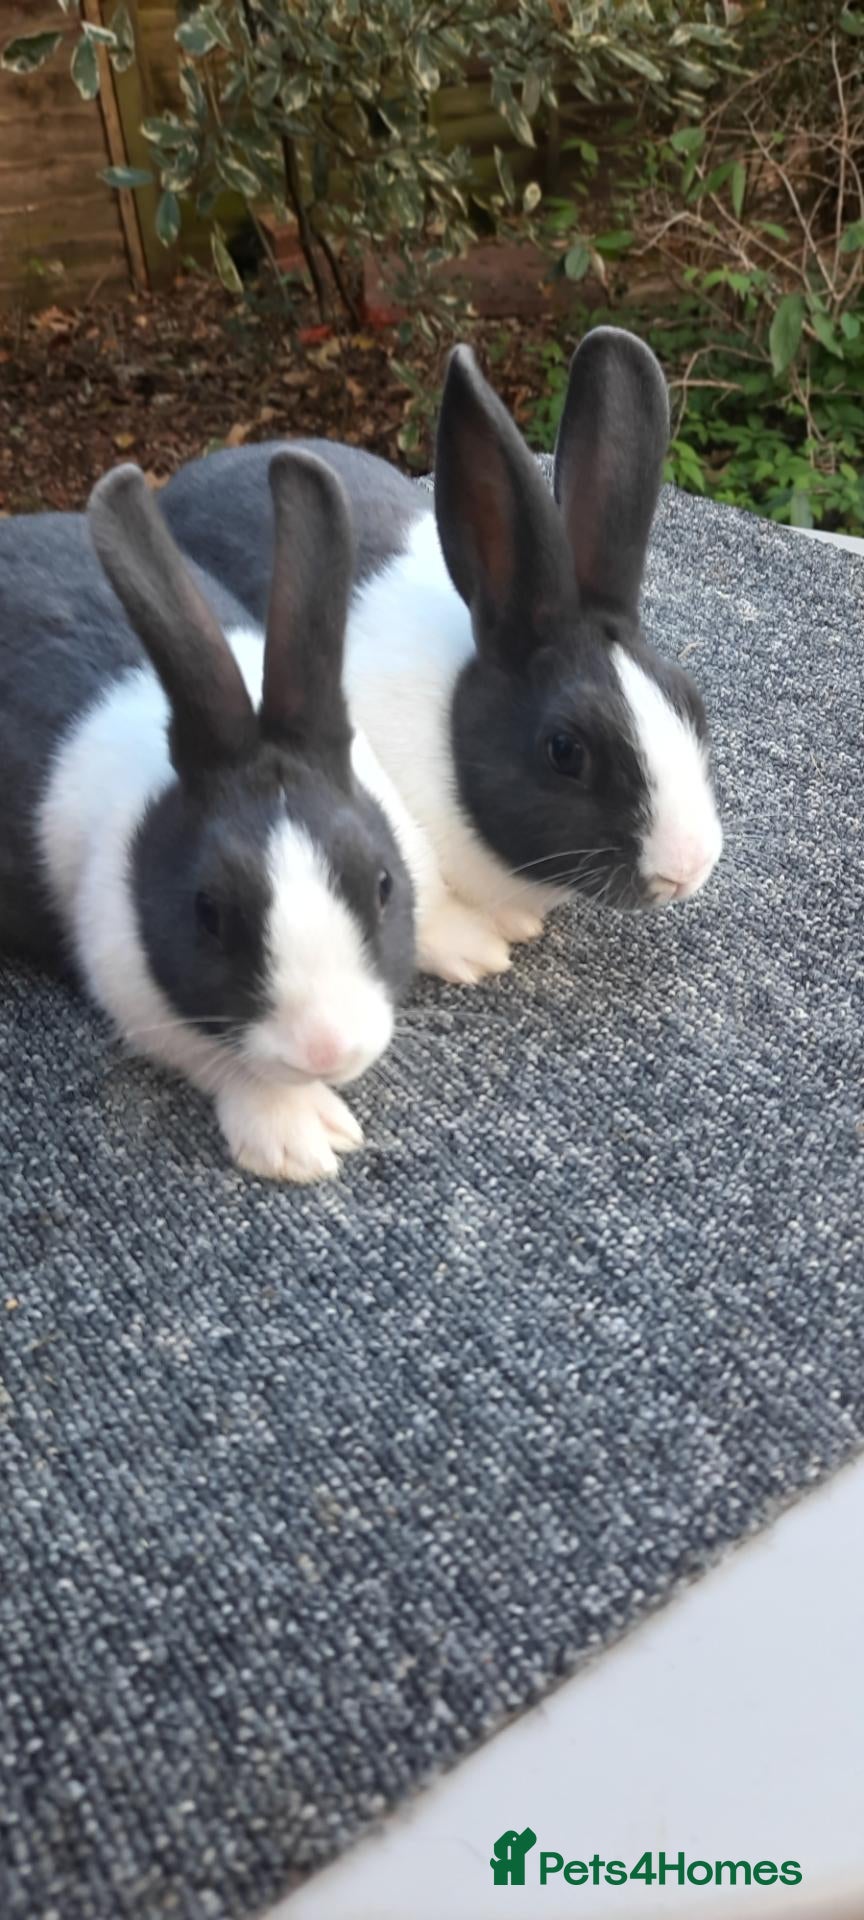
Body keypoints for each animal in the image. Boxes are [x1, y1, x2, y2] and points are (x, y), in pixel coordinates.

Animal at [0, 451, 418, 1182]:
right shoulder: (128, 983)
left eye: (383, 884)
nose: (326, 1049)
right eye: (210, 914)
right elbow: (219, 1057)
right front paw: (300, 1140)